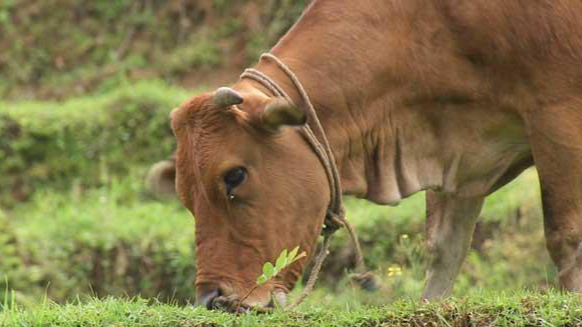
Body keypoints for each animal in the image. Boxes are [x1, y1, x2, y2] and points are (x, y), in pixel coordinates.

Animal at [153, 0, 582, 312]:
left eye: (235, 176)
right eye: (185, 197)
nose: (213, 299)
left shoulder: (557, 111)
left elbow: (566, 237)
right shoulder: (458, 155)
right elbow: (444, 248)